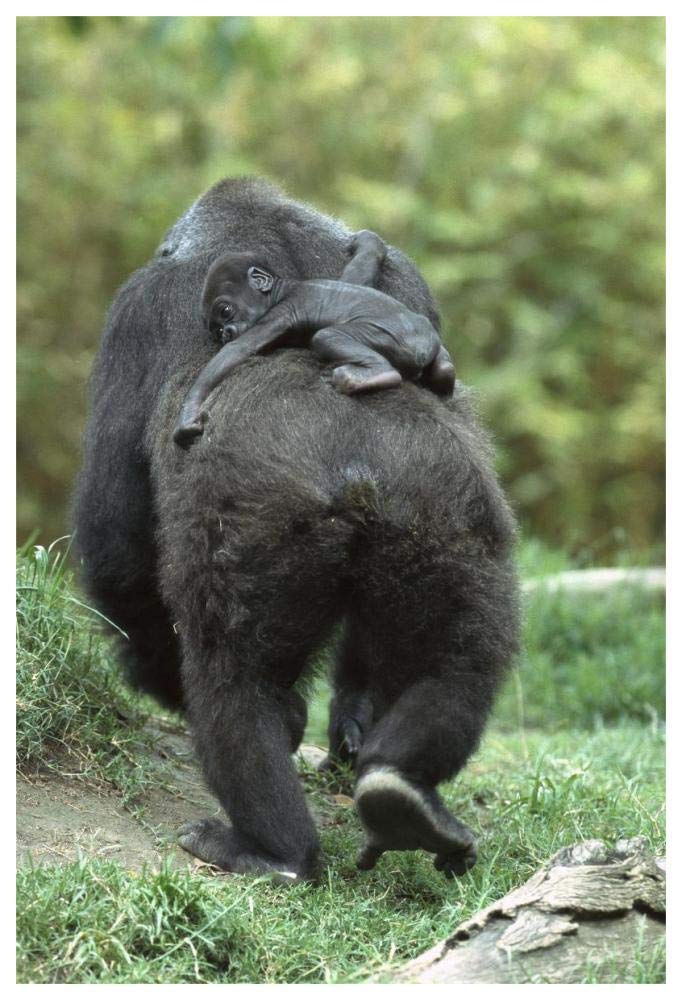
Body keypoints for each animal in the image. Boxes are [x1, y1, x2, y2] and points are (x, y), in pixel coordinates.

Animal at [173, 229, 455, 445]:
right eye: (217, 330)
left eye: (226, 311)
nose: (226, 333)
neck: (282, 289)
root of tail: (422, 346)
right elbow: (357, 273)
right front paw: (368, 243)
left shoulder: (277, 314)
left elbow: (238, 349)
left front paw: (188, 412)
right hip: (434, 347)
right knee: (443, 368)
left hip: (399, 341)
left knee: (326, 337)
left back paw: (373, 374)